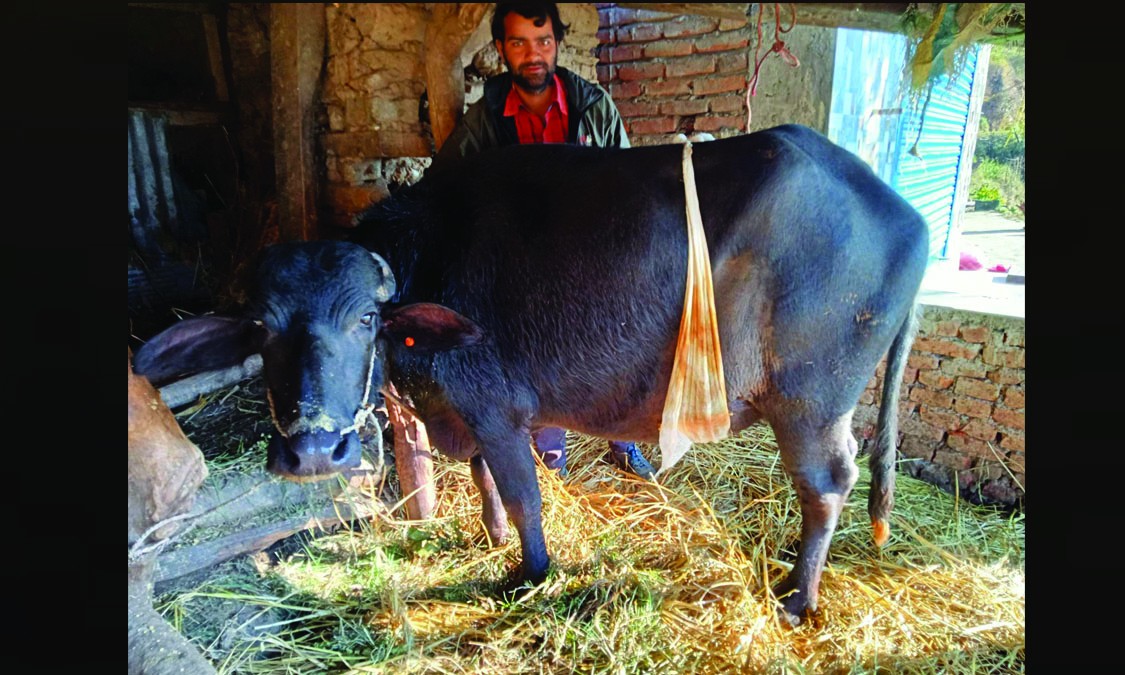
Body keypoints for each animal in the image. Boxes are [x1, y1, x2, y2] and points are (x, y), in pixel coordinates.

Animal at [133, 123, 922, 625]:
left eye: (363, 318)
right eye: (263, 326)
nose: (313, 452)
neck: (436, 255)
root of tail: (908, 217)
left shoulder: (497, 409)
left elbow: (521, 496)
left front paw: (529, 570)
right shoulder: (464, 412)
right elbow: (483, 479)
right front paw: (486, 538)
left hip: (811, 405)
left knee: (827, 485)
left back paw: (797, 596)